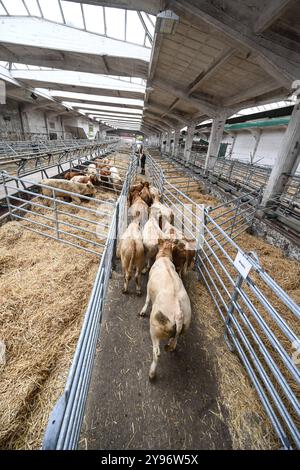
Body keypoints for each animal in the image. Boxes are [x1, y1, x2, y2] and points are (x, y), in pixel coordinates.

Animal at [139, 241, 191, 380]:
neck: (164, 258)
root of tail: (178, 314)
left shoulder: (148, 287)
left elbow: (147, 300)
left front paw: (142, 311)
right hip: (183, 326)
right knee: (175, 341)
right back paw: (171, 345)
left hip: (155, 329)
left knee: (157, 353)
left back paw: (152, 373)